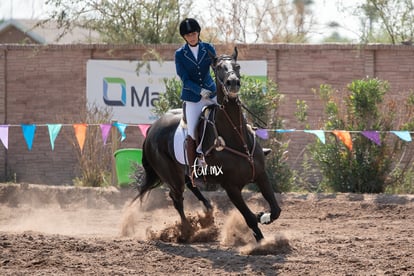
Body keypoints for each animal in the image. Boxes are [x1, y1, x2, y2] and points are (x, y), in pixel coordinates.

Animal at [133, 47, 282, 242]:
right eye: (218, 68)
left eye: (237, 66)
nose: (233, 83)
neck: (235, 137)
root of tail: (152, 129)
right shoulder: (231, 187)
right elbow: (249, 218)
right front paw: (261, 241)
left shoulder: (261, 175)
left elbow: (276, 210)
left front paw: (263, 216)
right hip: (171, 175)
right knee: (177, 198)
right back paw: (187, 231)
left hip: (185, 171)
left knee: (191, 185)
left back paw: (207, 212)